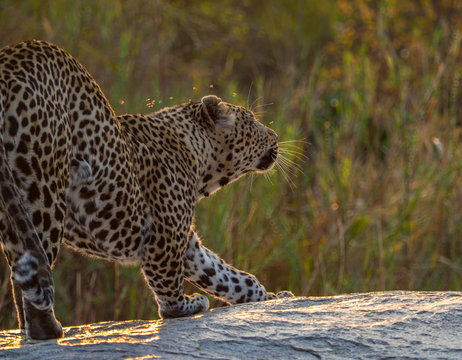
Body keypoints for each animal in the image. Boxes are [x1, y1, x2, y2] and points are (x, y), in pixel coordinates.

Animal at [0, 40, 292, 340]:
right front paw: (187, 305)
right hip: (44, 188)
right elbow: (169, 288)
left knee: (20, 270)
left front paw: (269, 297)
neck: (196, 157)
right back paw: (47, 329)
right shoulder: (164, 238)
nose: (275, 136)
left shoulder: (186, 241)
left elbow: (224, 274)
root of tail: (9, 63)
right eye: (252, 121)